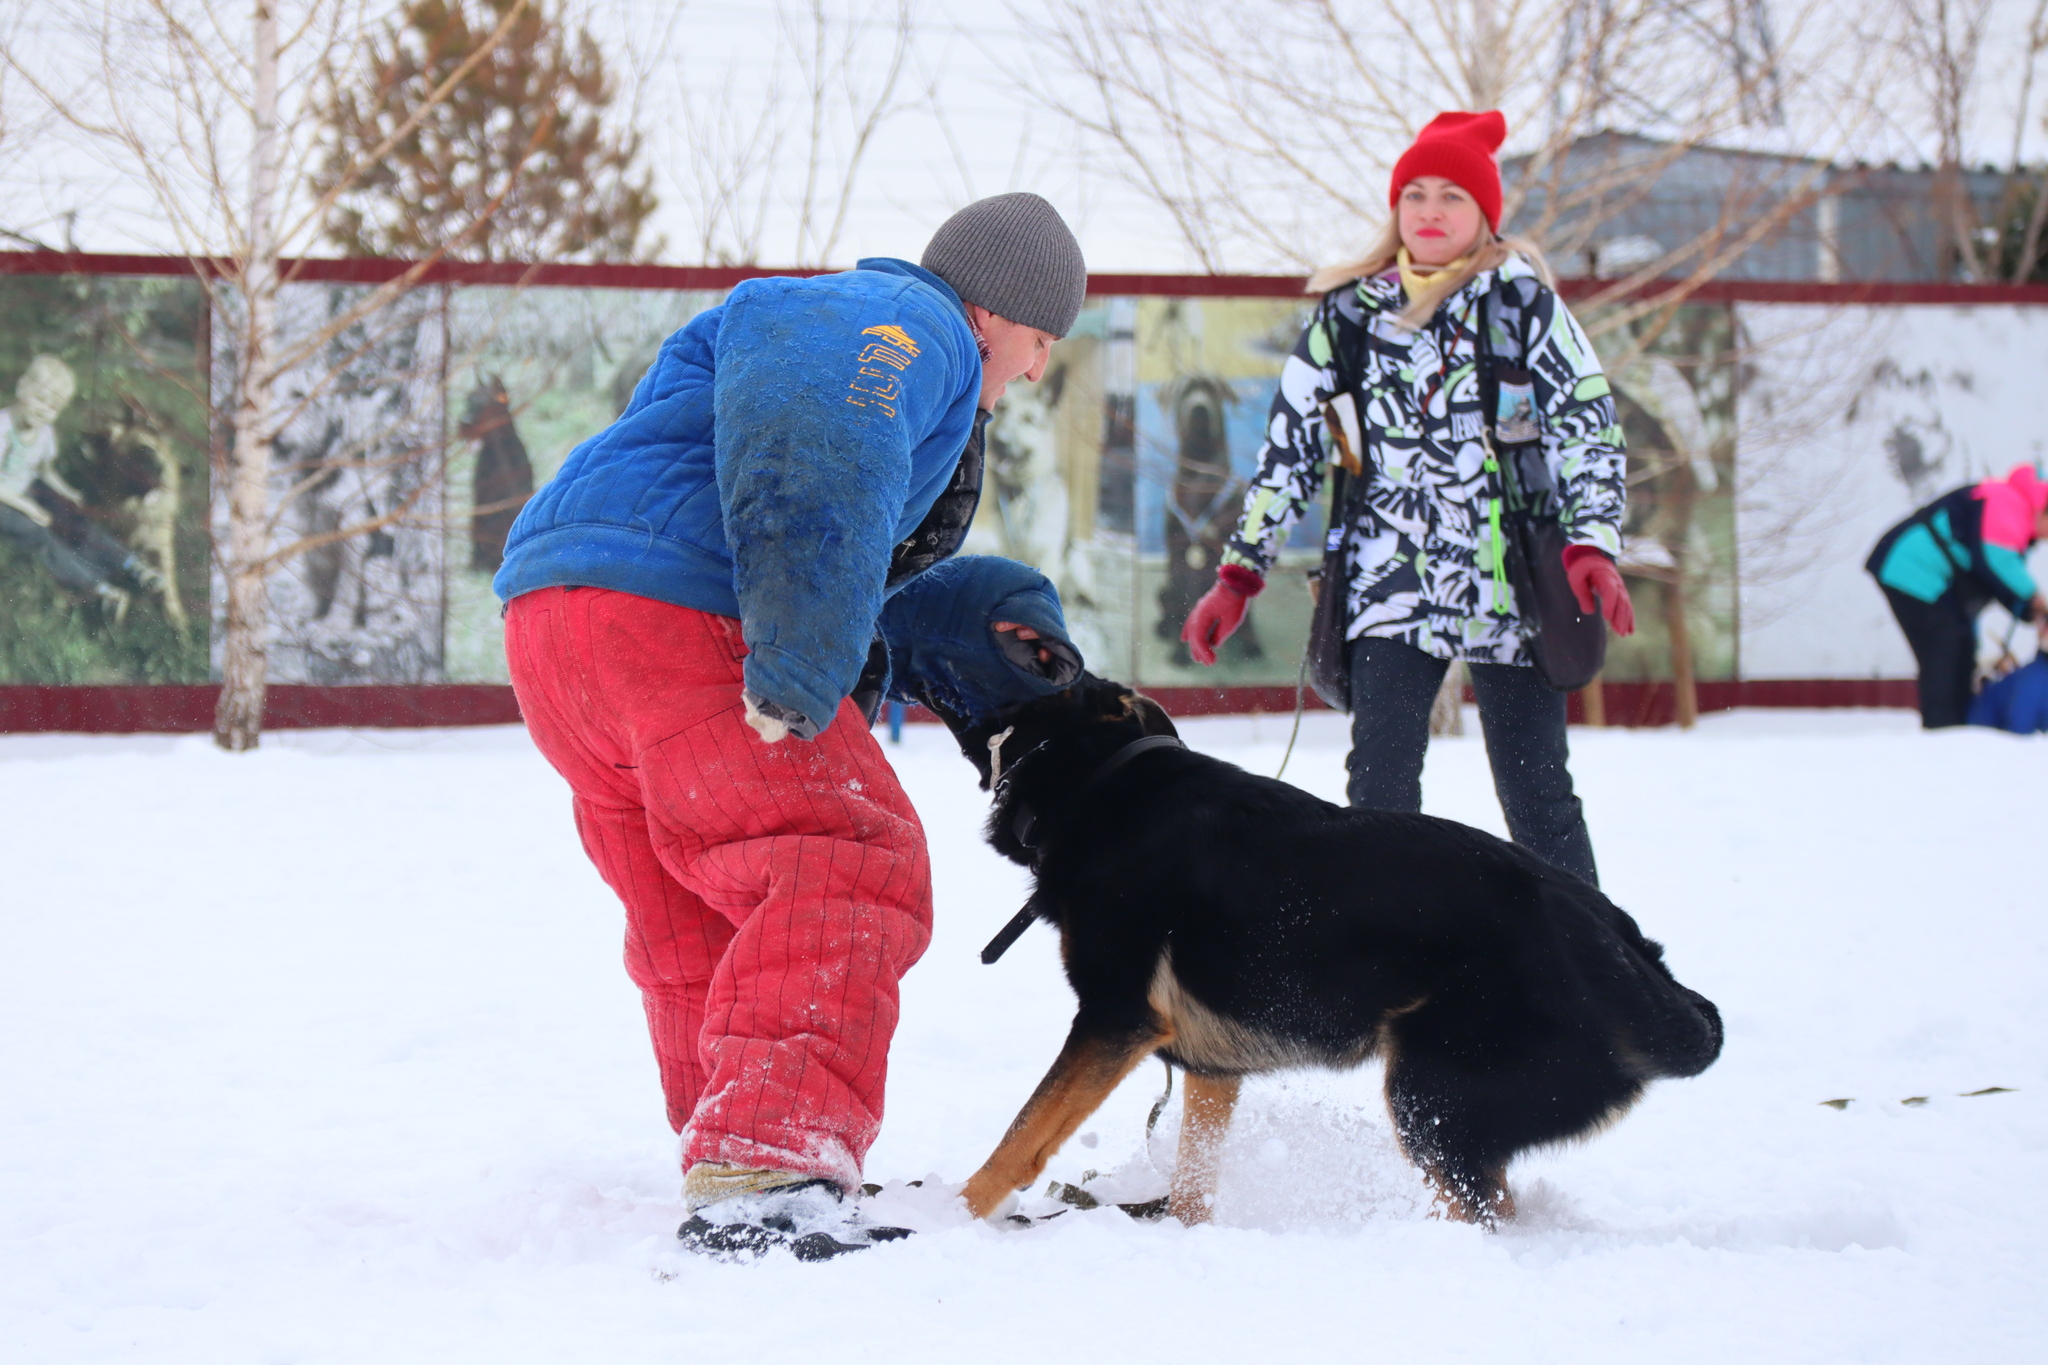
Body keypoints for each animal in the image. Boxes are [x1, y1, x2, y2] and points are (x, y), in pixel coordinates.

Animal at [937, 679, 1720, 1227]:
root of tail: (1630, 955)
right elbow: (1192, 1181)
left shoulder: (1113, 1018)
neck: (1106, 783)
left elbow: (1022, 1136)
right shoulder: (1212, 1065)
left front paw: (946, 1217)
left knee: (1482, 1211)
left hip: (1427, 1095)